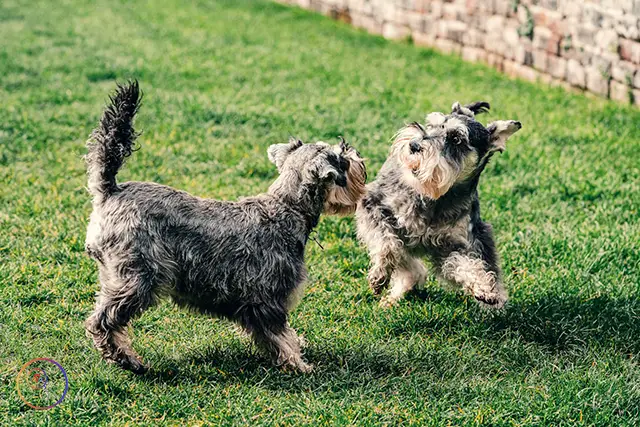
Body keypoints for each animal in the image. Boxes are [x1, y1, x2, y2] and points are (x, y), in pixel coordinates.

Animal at [83, 81, 364, 374]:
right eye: (340, 158)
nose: (353, 151)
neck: (288, 207)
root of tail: (110, 191)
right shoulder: (269, 299)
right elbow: (280, 335)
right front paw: (298, 364)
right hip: (138, 279)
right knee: (103, 321)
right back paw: (128, 360)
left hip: (115, 276)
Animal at [358, 103, 524, 310]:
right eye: (431, 125)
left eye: (456, 139)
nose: (414, 145)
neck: (435, 197)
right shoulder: (373, 205)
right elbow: (387, 243)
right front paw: (379, 275)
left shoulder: (456, 245)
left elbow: (464, 263)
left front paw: (485, 287)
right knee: (406, 261)